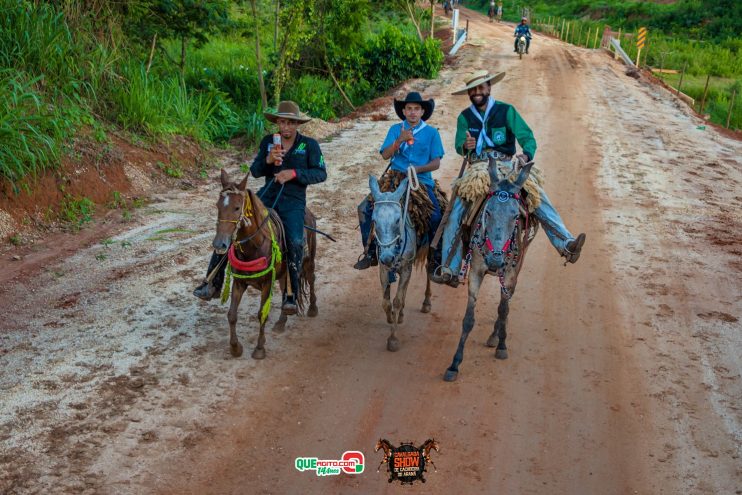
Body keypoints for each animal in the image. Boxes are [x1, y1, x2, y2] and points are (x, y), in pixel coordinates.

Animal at [214, 170, 322, 360]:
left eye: (237, 207)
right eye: (218, 206)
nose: (220, 244)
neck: (255, 245)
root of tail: (308, 213)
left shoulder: (266, 283)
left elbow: (261, 314)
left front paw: (259, 348)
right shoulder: (239, 282)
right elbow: (232, 315)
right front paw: (235, 348)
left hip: (308, 260)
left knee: (311, 278)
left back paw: (312, 308)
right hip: (284, 274)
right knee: (287, 290)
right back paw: (281, 321)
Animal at [370, 174, 434, 352]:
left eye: (398, 220)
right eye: (374, 220)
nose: (387, 257)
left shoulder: (406, 268)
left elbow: (397, 301)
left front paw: (393, 339)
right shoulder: (384, 270)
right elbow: (386, 302)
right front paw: (391, 318)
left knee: (428, 271)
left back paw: (426, 303)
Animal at [444, 162, 536, 380]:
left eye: (515, 215)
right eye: (487, 212)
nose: (495, 261)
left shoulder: (510, 274)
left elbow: (503, 309)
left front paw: (502, 345)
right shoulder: (476, 271)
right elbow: (468, 320)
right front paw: (454, 364)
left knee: (507, 303)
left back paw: (496, 335)